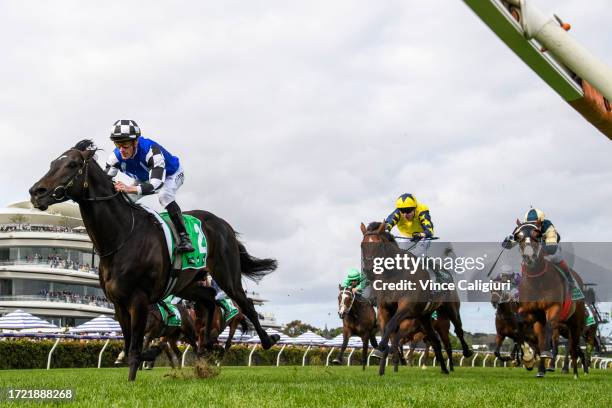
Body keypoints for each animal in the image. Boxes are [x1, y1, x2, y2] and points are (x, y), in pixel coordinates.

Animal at [30, 140, 280, 380]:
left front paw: (135, 373)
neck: (122, 236)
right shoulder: (118, 303)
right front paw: (143, 360)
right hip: (186, 285)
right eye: (52, 163)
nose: (36, 192)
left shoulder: (139, 299)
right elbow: (130, 343)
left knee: (246, 304)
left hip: (226, 275)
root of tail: (223, 224)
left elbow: (136, 347)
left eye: (72, 164)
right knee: (209, 299)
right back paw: (207, 345)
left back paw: (267, 340)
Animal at [358, 223, 474, 376]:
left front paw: (383, 348)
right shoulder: (384, 308)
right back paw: (444, 369)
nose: (369, 270)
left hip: (450, 308)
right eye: (362, 245)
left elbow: (390, 327)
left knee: (458, 330)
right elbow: (387, 331)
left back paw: (466, 352)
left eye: (379, 245)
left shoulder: (406, 307)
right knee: (435, 340)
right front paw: (382, 365)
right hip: (425, 317)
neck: (394, 274)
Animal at [512, 222, 584, 378]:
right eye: (518, 237)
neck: (537, 282)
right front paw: (529, 360)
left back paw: (575, 373)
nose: (529, 256)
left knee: (573, 347)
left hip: (575, 323)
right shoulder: (529, 312)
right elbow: (524, 328)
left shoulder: (553, 307)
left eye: (537, 235)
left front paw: (546, 354)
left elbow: (550, 327)